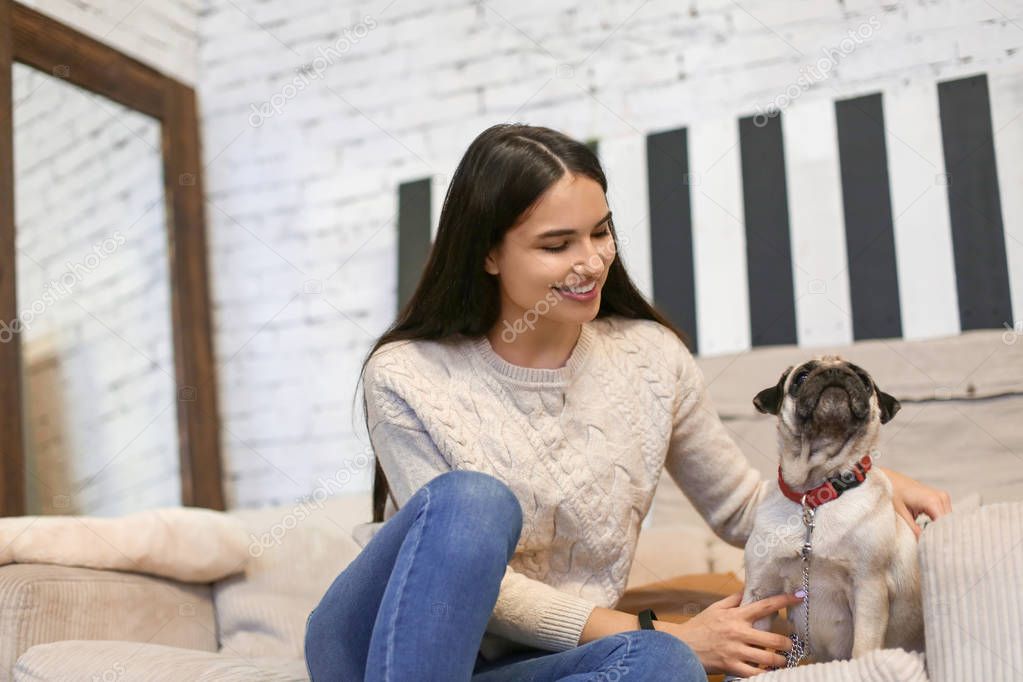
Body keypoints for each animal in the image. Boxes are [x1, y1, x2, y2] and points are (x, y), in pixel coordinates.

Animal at [740, 357, 924, 666]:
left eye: (864, 380)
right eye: (801, 377)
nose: (835, 372)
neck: (816, 496)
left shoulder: (868, 589)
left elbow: (863, 648)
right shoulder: (761, 591)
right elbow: (748, 657)